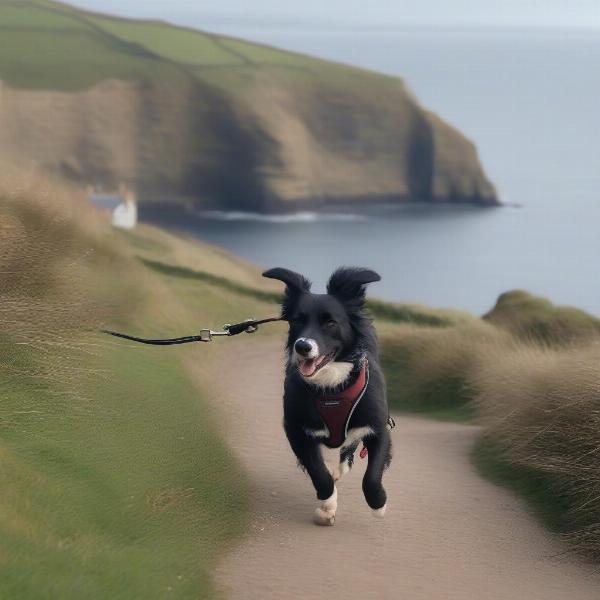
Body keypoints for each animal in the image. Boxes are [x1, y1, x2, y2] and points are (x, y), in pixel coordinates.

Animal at [262, 268, 390, 524]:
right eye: (297, 320)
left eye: (330, 322)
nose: (302, 346)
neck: (332, 387)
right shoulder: (297, 430)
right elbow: (318, 473)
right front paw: (327, 505)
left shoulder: (378, 427)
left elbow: (372, 476)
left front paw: (378, 504)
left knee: (349, 448)